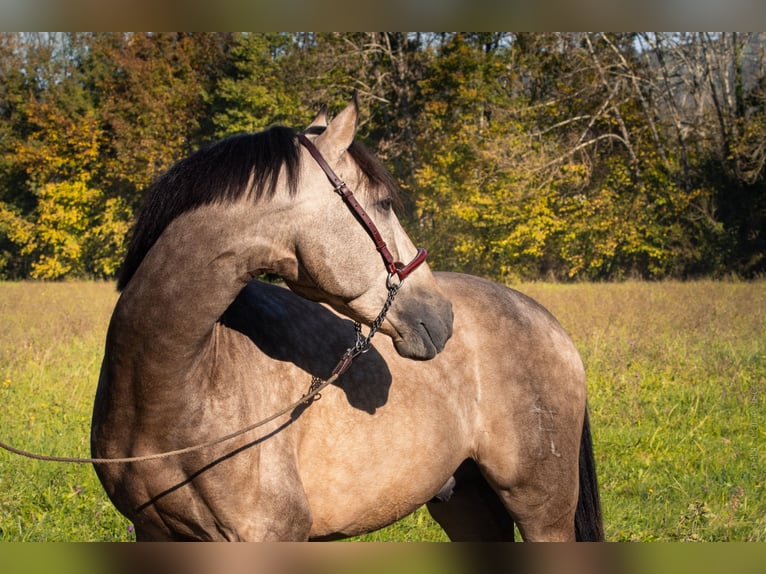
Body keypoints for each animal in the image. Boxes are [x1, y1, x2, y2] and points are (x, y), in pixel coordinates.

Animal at [91, 97, 608, 544]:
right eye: (381, 203)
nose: (442, 317)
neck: (177, 385)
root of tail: (545, 319)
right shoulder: (155, 533)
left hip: (543, 511)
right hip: (469, 505)